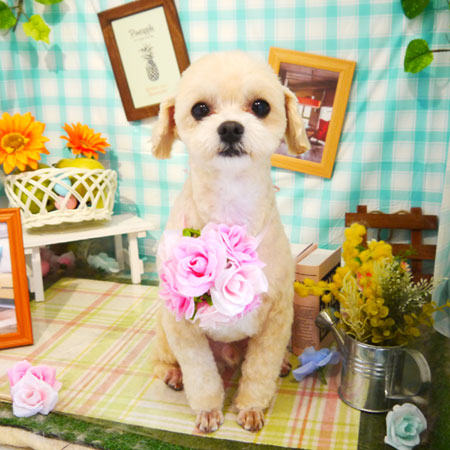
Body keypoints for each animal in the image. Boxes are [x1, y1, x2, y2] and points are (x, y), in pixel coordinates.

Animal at [150, 51, 310, 433]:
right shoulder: (182, 325)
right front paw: (209, 411)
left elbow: (260, 370)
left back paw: (284, 363)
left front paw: (251, 407)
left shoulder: (277, 317)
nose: (231, 127)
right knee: (160, 359)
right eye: (200, 110)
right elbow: (201, 375)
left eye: (260, 106)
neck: (230, 206)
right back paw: (172, 375)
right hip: (163, 330)